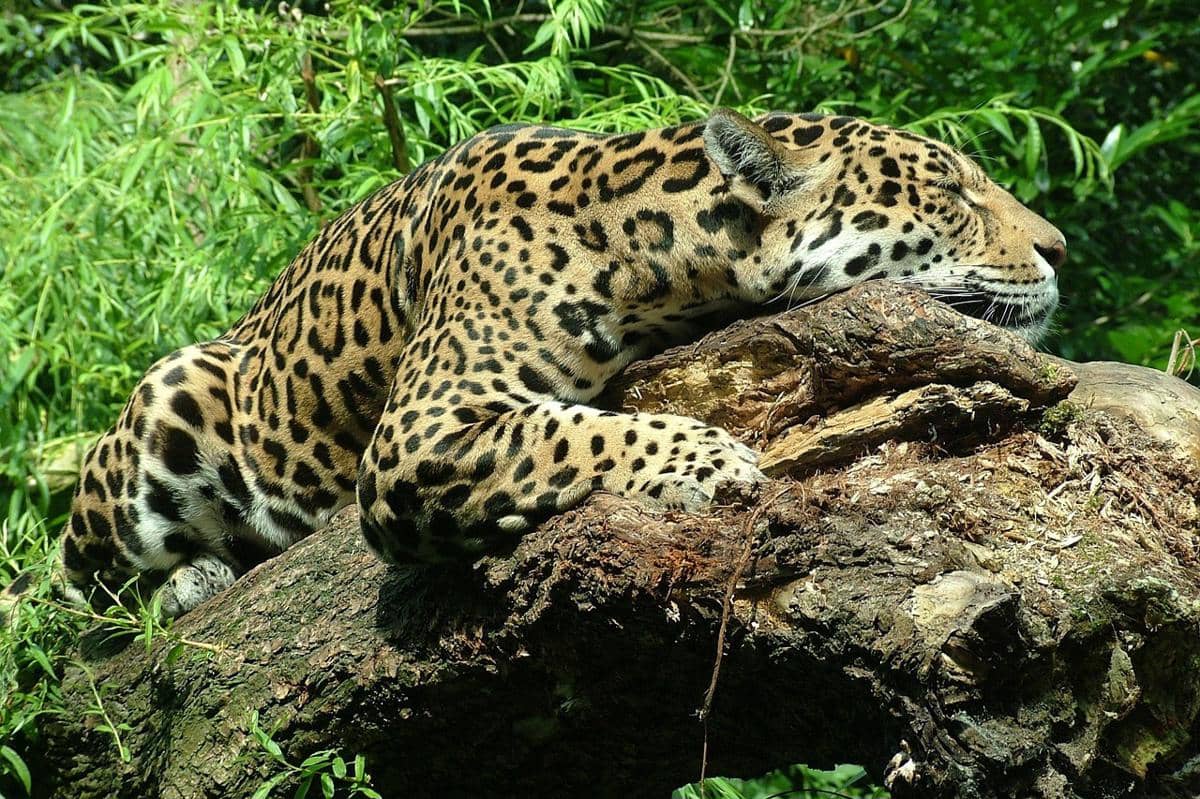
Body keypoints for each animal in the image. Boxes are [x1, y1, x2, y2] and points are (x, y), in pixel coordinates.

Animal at [19, 107, 1066, 618]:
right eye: (949, 191)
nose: (1058, 247)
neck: (656, 249)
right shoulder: (419, 430)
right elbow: (564, 433)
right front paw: (708, 459)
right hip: (169, 405)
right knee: (69, 597)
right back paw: (182, 579)